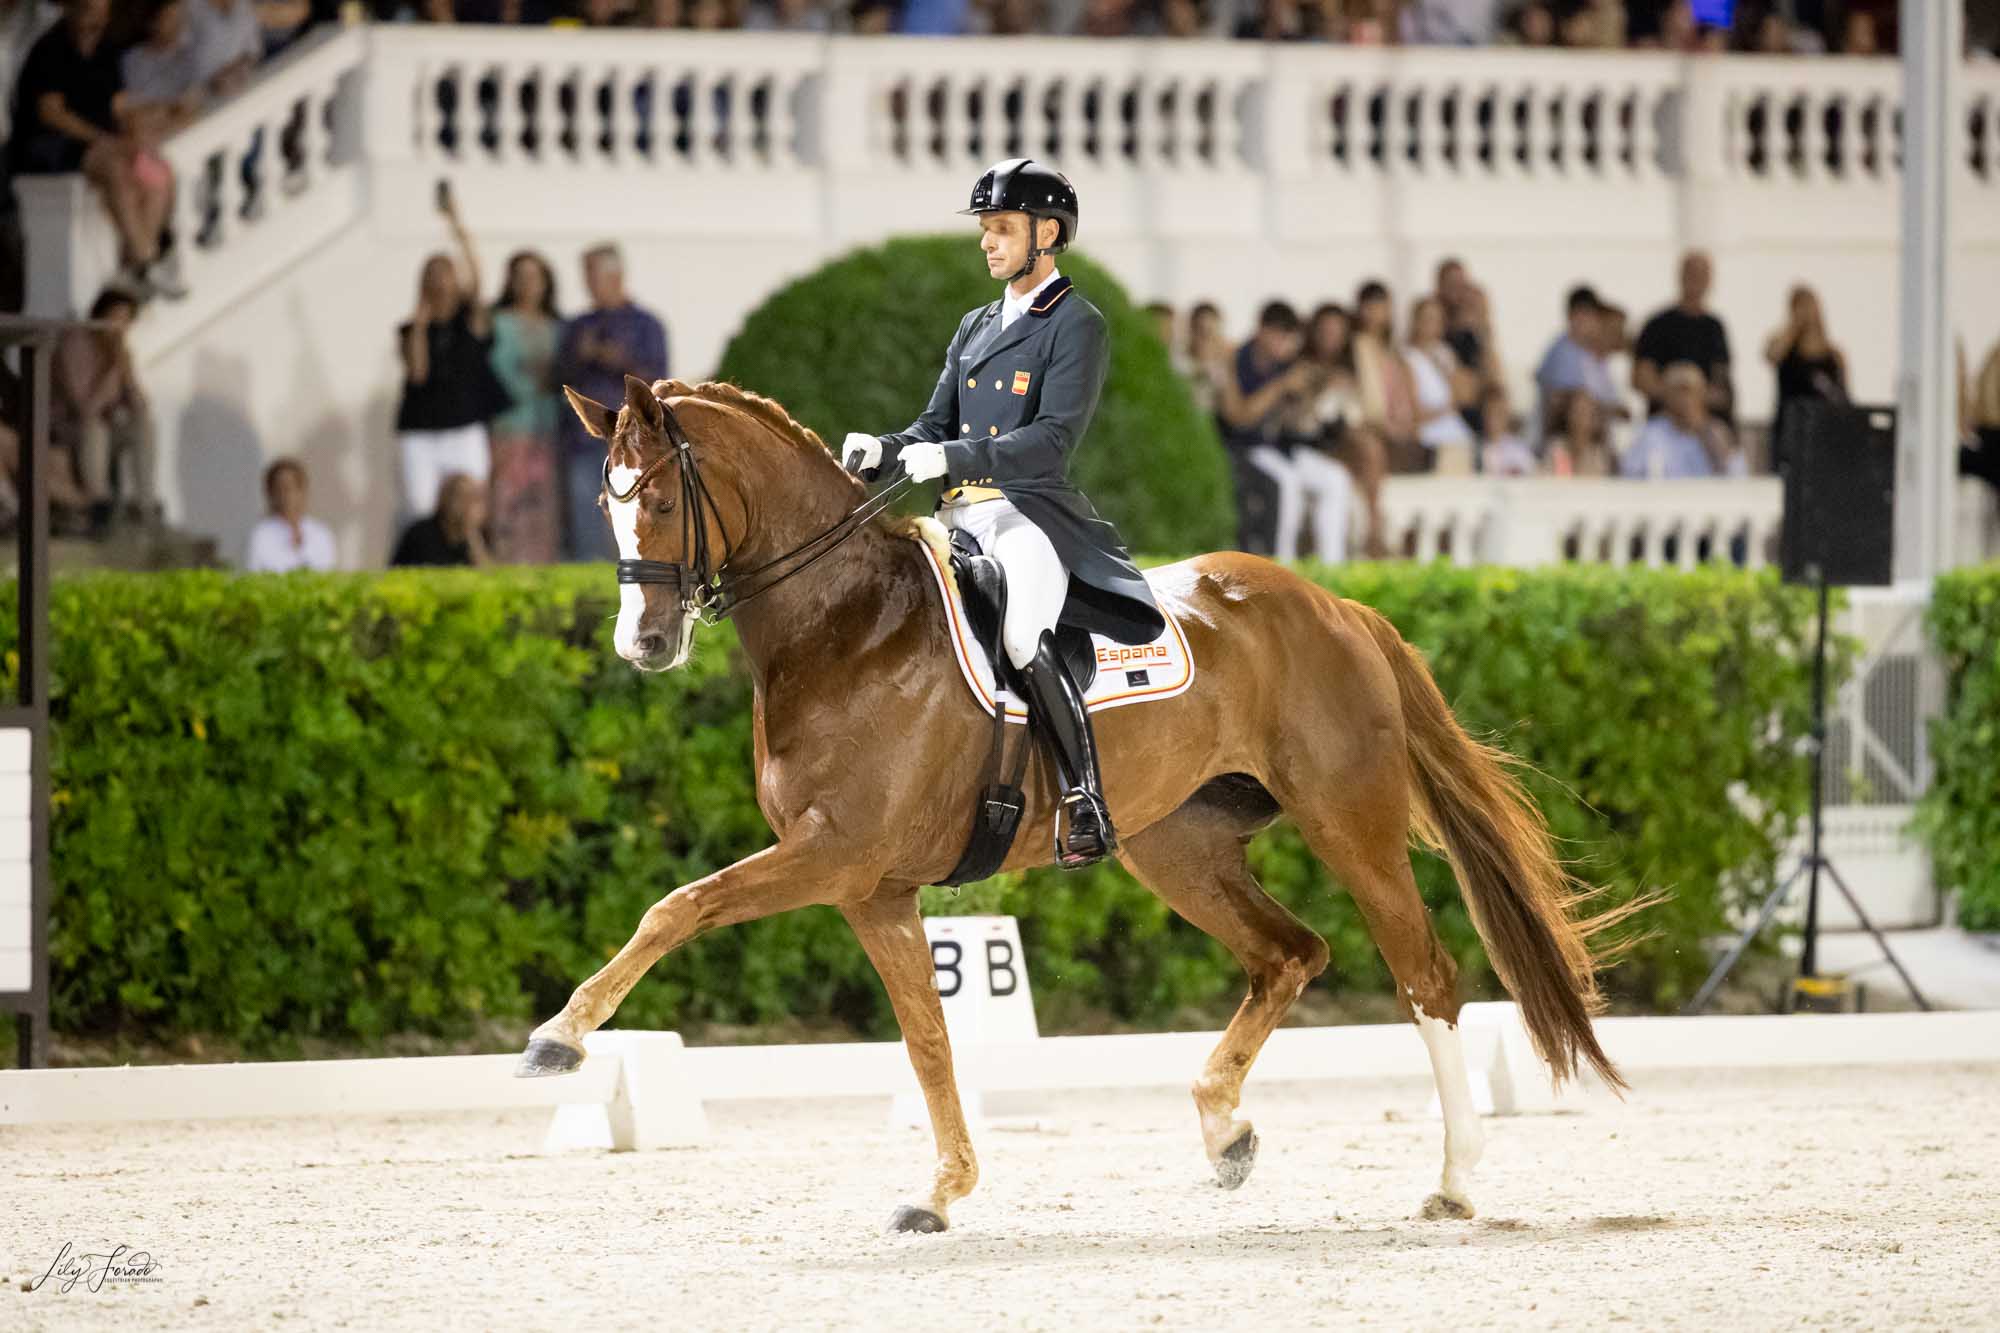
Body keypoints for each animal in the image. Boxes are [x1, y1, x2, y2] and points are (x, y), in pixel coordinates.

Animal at [520, 370, 1624, 1224]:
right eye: (605, 507)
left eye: (662, 501)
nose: (643, 643)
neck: (847, 623)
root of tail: (1336, 602)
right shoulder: (873, 889)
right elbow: (928, 1041)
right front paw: (942, 1191)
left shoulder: (836, 854)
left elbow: (679, 905)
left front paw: (558, 1039)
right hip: (1178, 846)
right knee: (1289, 953)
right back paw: (1224, 1129)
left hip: (1348, 824)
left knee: (1425, 977)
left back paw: (1451, 1182)